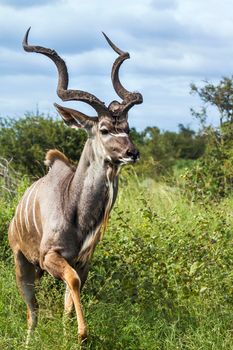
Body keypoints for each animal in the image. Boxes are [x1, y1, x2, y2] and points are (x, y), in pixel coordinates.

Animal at [8, 28, 142, 344]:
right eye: (104, 129)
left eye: (127, 128)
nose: (132, 152)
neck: (77, 210)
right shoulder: (50, 256)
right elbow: (72, 281)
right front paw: (82, 334)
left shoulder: (83, 261)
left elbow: (72, 293)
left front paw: (69, 333)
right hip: (22, 263)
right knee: (32, 309)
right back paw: (29, 340)